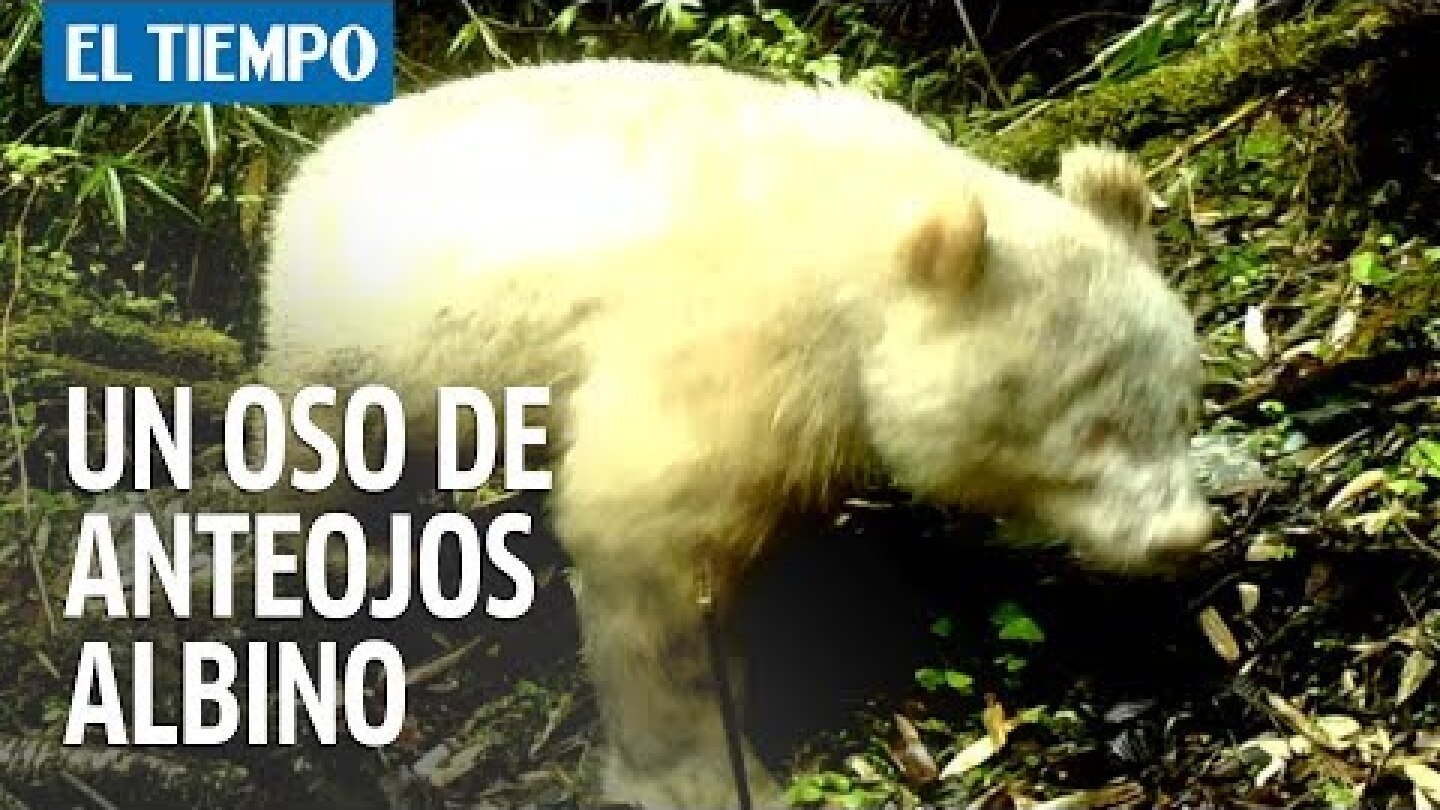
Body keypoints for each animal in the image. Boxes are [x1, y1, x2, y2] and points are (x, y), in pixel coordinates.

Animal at [259, 59, 1214, 809]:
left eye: (1182, 406)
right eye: (1092, 430)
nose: (1182, 536)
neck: (868, 229)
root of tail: (310, 167)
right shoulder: (737, 341)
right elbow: (646, 540)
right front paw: (704, 775)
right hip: (356, 344)